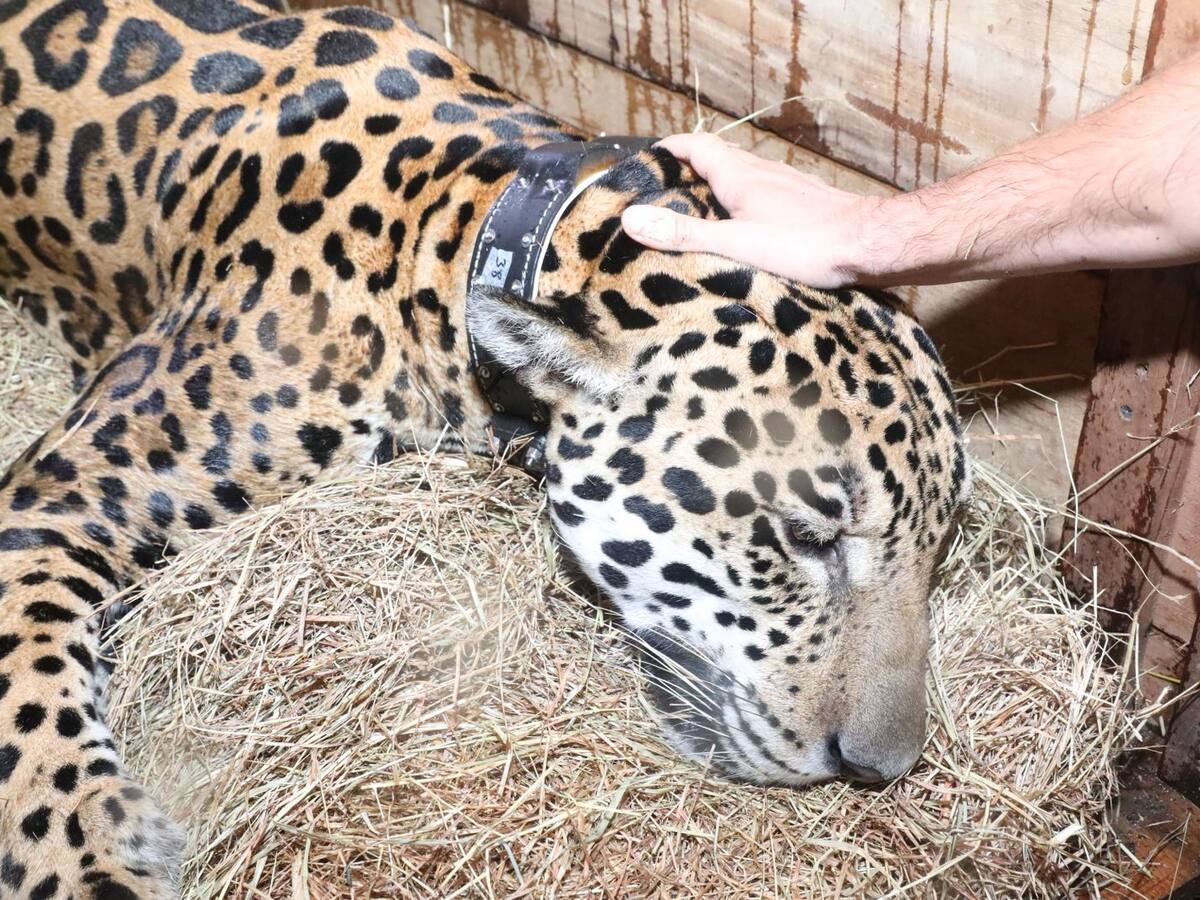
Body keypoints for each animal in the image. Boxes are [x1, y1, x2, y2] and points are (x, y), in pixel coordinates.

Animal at [0, 0, 970, 894]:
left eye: (940, 551)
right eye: (806, 539)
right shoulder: (57, 504)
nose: (879, 769)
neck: (448, 235)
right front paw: (91, 865)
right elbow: (33, 703)